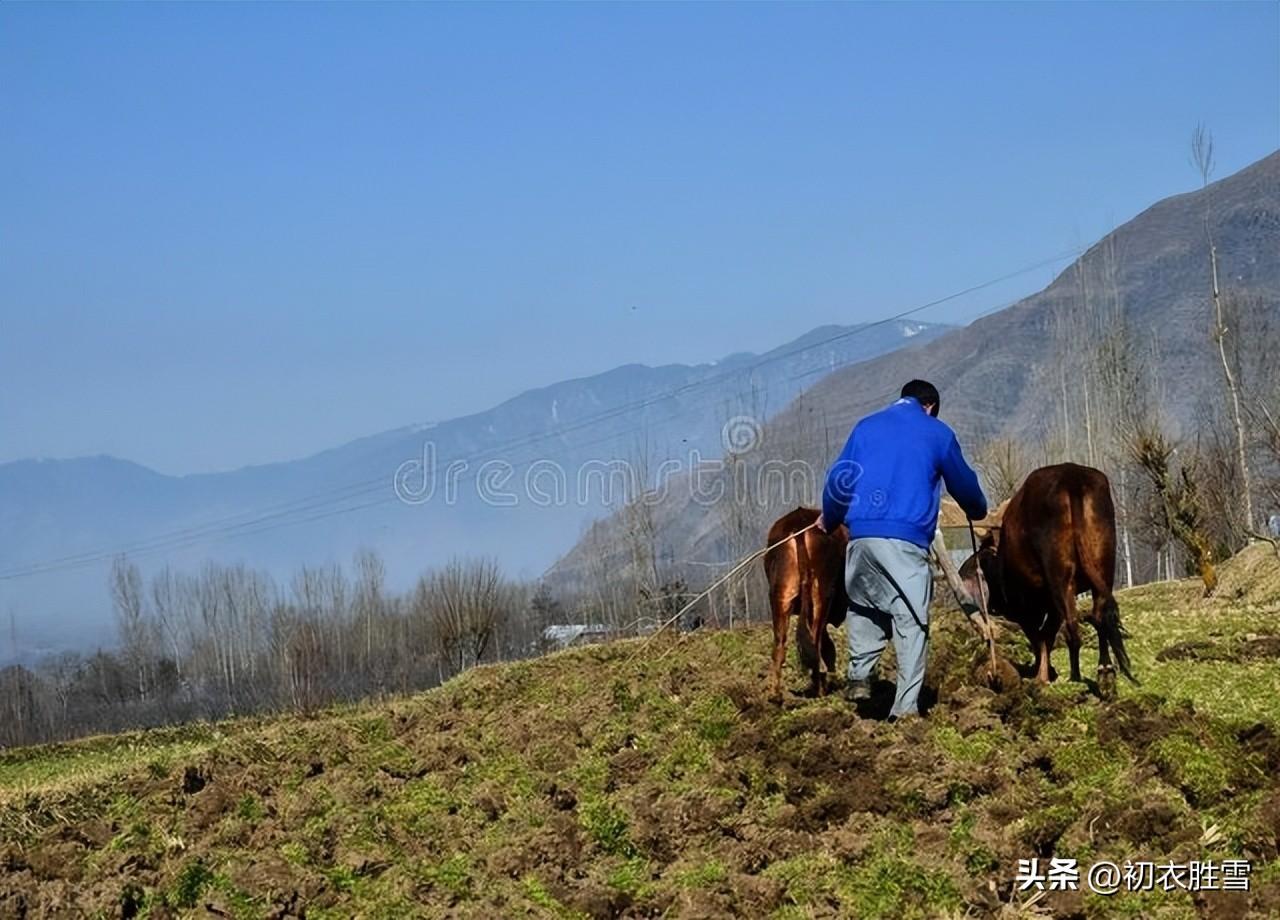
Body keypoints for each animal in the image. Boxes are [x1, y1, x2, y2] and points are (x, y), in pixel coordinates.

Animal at [762, 506, 844, 701]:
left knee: (779, 644)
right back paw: (819, 690)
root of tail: (798, 523)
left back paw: (775, 695)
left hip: (780, 596)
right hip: (821, 596)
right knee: (815, 641)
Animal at [962, 460, 1136, 696]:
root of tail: (1071, 475)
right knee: (1099, 617)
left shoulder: (1025, 609)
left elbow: (1039, 638)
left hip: (1060, 578)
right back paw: (1105, 673)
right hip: (1103, 567)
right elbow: (1048, 636)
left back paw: (1075, 678)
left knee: (1073, 627)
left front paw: (1042, 675)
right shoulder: (1048, 607)